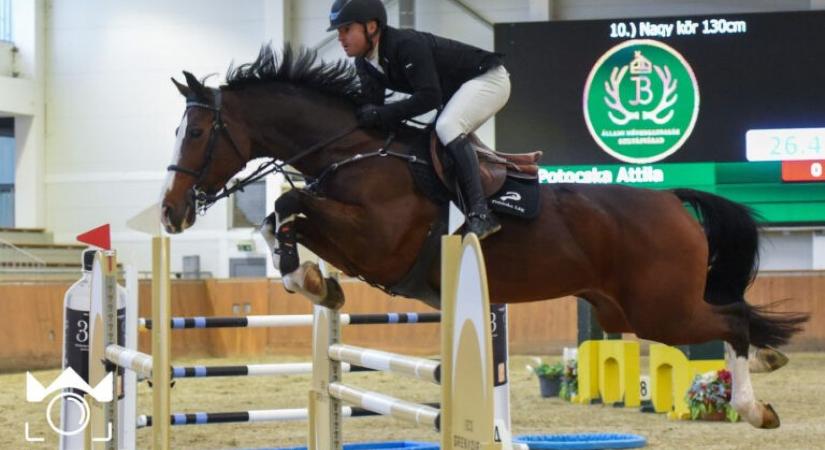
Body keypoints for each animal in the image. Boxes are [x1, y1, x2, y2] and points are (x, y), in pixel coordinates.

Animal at [159, 45, 804, 428]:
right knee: (734, 317)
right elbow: (281, 216)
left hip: (658, 309)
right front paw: (319, 283)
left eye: (197, 133)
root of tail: (670, 199)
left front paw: (312, 279)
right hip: (625, 310)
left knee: (733, 321)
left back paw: (754, 405)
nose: (169, 214)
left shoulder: (379, 241)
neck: (352, 150)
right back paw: (767, 363)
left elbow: (289, 202)